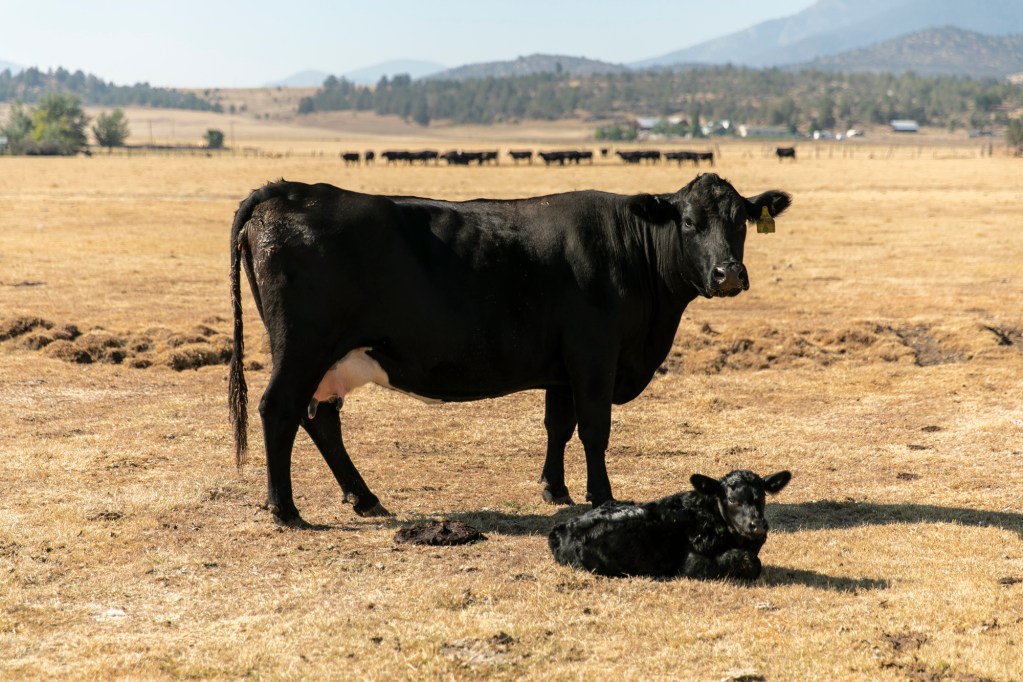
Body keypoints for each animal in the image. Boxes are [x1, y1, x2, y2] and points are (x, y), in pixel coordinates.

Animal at [228, 174, 791, 527]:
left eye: (740, 219)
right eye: (689, 222)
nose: (728, 274)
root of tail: (288, 192)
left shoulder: (563, 367)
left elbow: (558, 425)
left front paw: (555, 490)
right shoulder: (595, 354)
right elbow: (594, 429)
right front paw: (603, 497)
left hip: (329, 358)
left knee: (320, 419)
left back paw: (364, 498)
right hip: (303, 348)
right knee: (278, 410)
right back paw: (286, 510)